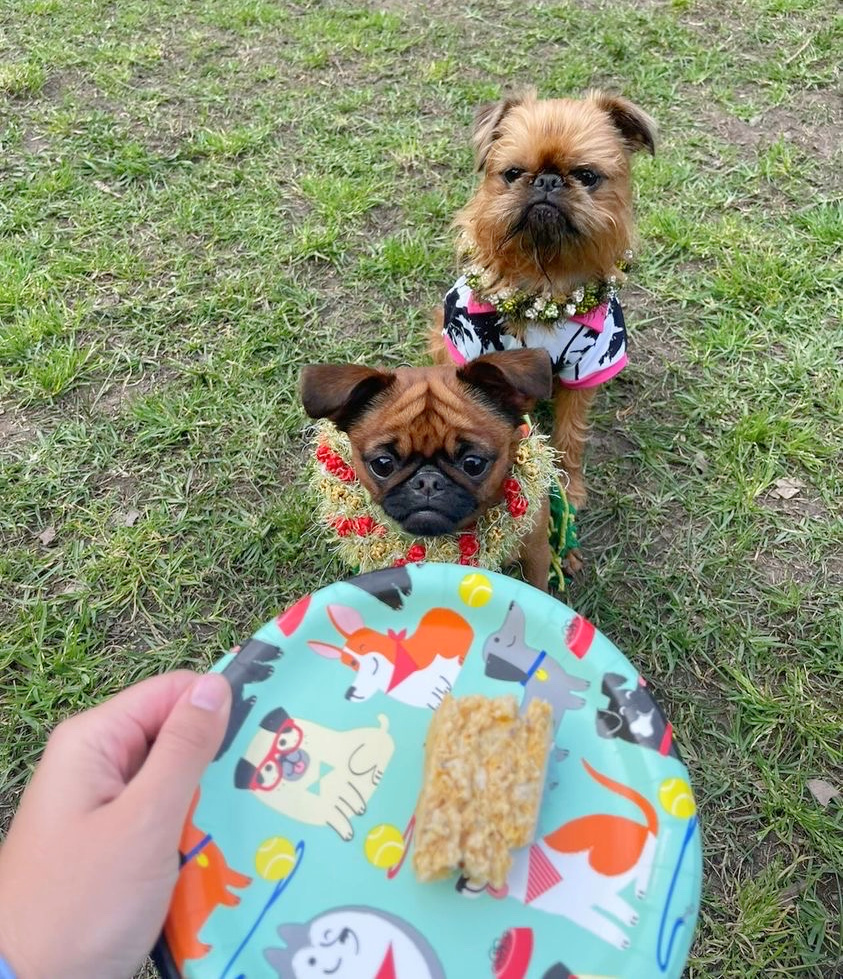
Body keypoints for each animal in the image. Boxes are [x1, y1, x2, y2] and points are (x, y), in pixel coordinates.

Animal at [432, 88, 656, 572]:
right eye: (513, 174)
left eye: (587, 176)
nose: (548, 182)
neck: (542, 285)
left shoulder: (586, 366)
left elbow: (569, 437)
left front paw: (567, 491)